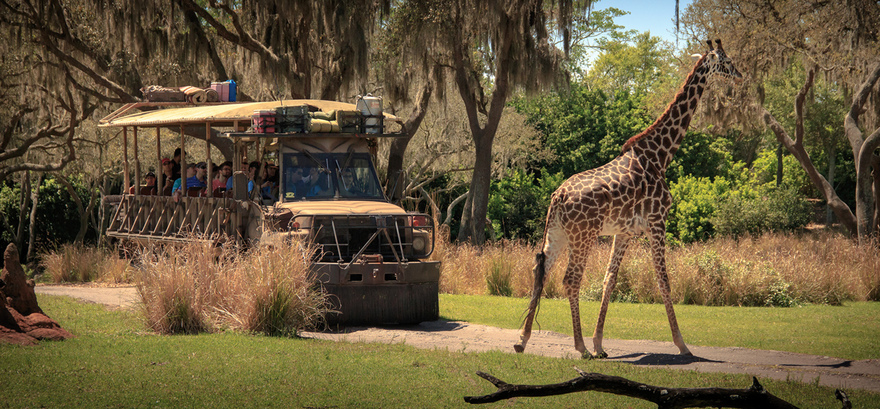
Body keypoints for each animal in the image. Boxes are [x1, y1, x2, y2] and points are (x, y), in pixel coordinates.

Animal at [512, 39, 740, 356]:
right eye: (728, 62)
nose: (740, 75)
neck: (661, 156)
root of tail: (558, 196)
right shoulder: (658, 221)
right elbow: (664, 281)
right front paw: (682, 344)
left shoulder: (625, 232)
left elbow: (610, 280)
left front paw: (599, 343)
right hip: (583, 235)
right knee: (570, 280)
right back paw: (579, 347)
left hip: (557, 233)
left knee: (541, 271)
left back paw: (523, 340)